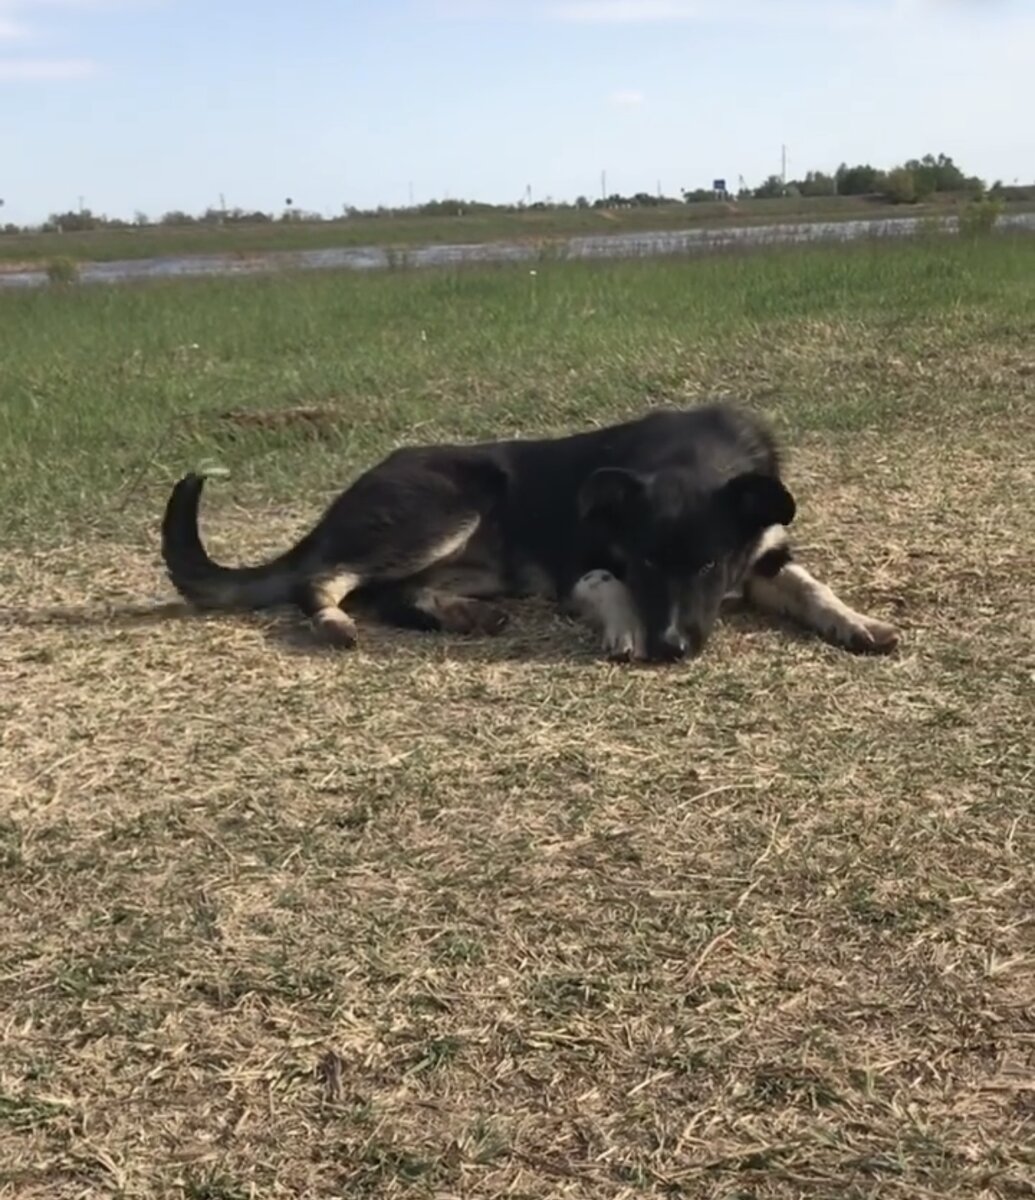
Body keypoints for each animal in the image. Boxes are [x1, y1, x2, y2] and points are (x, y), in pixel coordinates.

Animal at [162, 405, 898, 667]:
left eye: (712, 566)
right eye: (643, 564)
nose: (672, 648)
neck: (696, 456)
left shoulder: (767, 555)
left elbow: (812, 588)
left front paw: (856, 622)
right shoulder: (580, 561)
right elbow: (603, 584)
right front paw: (624, 627)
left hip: (479, 561)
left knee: (393, 595)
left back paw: (461, 615)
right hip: (449, 505)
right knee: (325, 579)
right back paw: (333, 622)